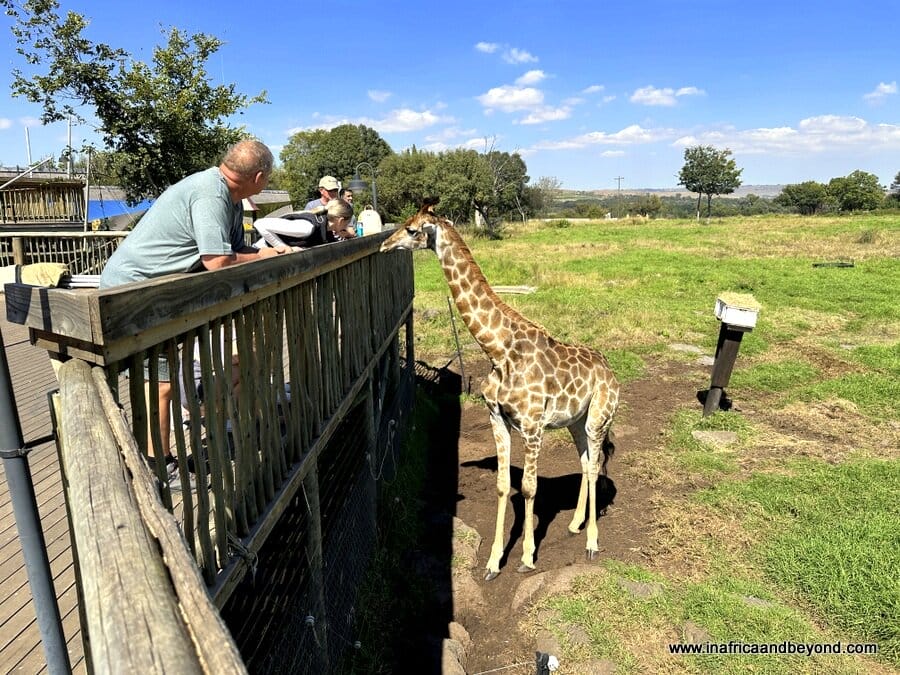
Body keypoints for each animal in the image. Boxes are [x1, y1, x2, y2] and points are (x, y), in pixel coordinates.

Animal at [380, 198, 620, 580]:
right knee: (586, 463)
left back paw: (592, 543)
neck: (498, 351)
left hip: (599, 417)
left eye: (412, 229)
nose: (384, 246)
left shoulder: (533, 426)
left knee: (596, 464)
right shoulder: (498, 418)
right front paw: (493, 563)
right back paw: (574, 525)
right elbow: (504, 486)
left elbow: (530, 488)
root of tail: (610, 371)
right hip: (576, 422)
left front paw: (527, 558)